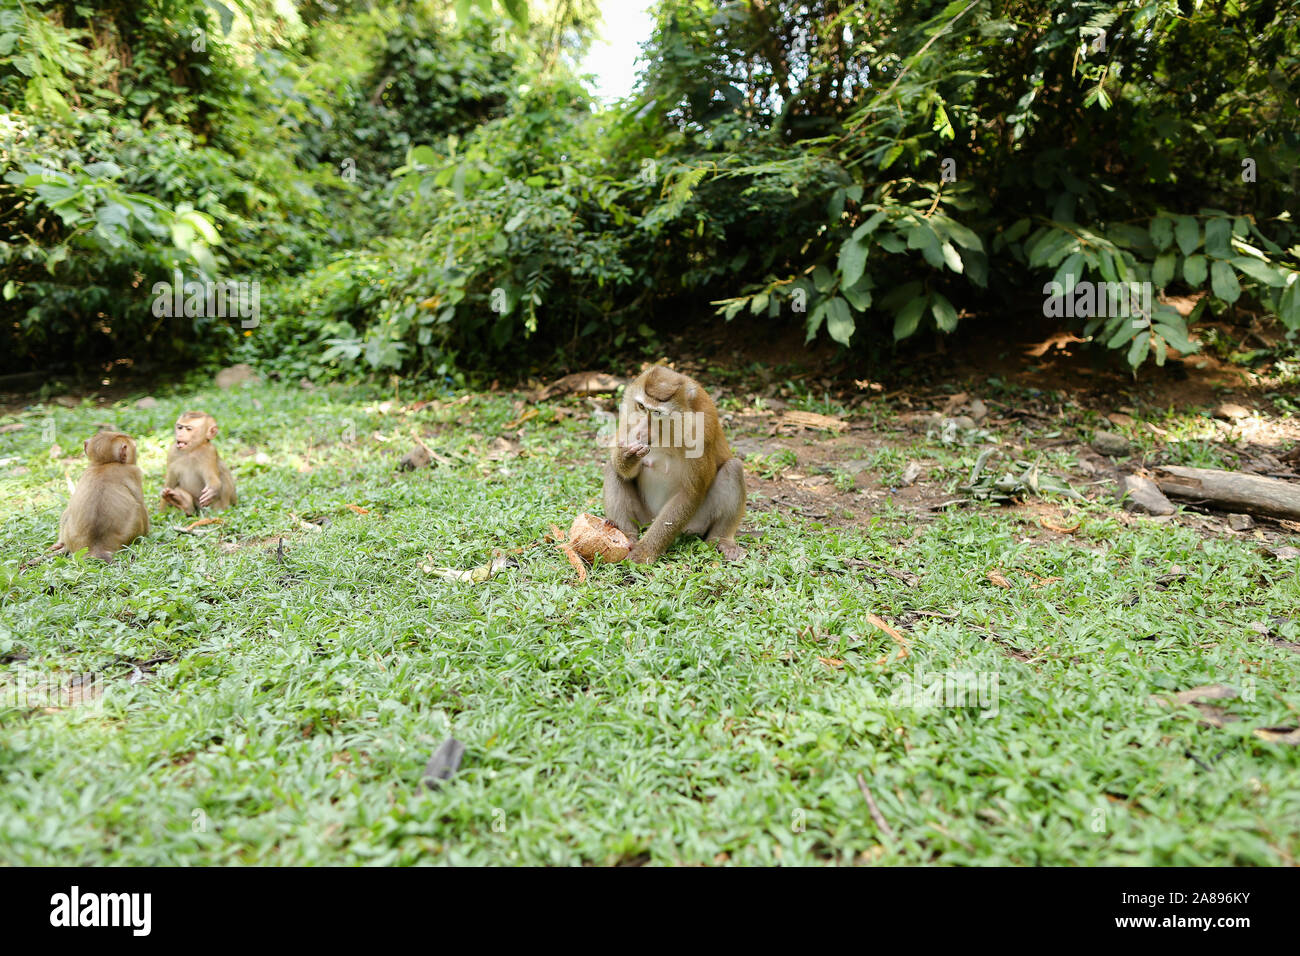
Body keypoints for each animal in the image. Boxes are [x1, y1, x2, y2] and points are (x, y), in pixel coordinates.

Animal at [52, 431, 149, 561]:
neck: (105, 464)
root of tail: (96, 547)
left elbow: (67, 512)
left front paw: (59, 544)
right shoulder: (134, 472)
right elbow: (141, 504)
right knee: (138, 508)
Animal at [603, 364, 748, 561]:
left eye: (657, 413)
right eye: (641, 406)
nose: (640, 432)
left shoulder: (702, 433)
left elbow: (689, 493)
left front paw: (644, 551)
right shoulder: (627, 420)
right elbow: (623, 469)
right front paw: (627, 456)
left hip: (696, 523)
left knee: (733, 468)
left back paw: (722, 541)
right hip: (642, 518)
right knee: (612, 469)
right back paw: (627, 534)